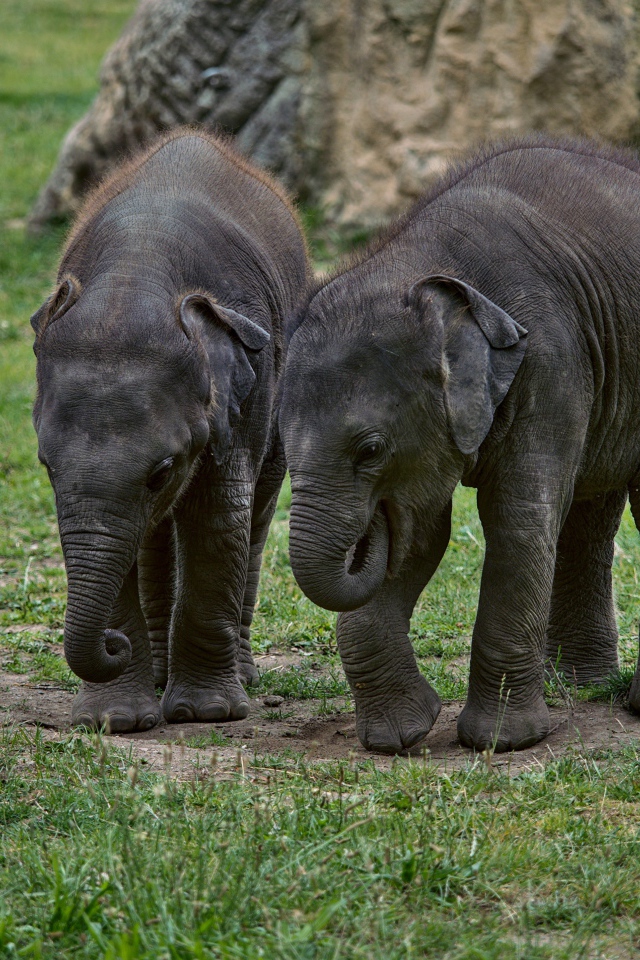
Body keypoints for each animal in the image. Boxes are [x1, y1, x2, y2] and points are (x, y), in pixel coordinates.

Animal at [32, 129, 309, 732]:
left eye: (162, 471)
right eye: (46, 466)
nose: (111, 645)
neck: (137, 271)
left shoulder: (247, 390)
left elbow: (219, 516)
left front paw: (208, 713)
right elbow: (119, 536)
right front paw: (114, 721)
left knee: (255, 514)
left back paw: (241, 675)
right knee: (154, 536)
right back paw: (158, 673)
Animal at [280, 136, 640, 755]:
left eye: (370, 450)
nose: (365, 531)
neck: (424, 265)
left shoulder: (551, 359)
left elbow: (518, 520)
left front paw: (502, 742)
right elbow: (423, 531)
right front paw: (399, 736)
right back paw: (582, 686)